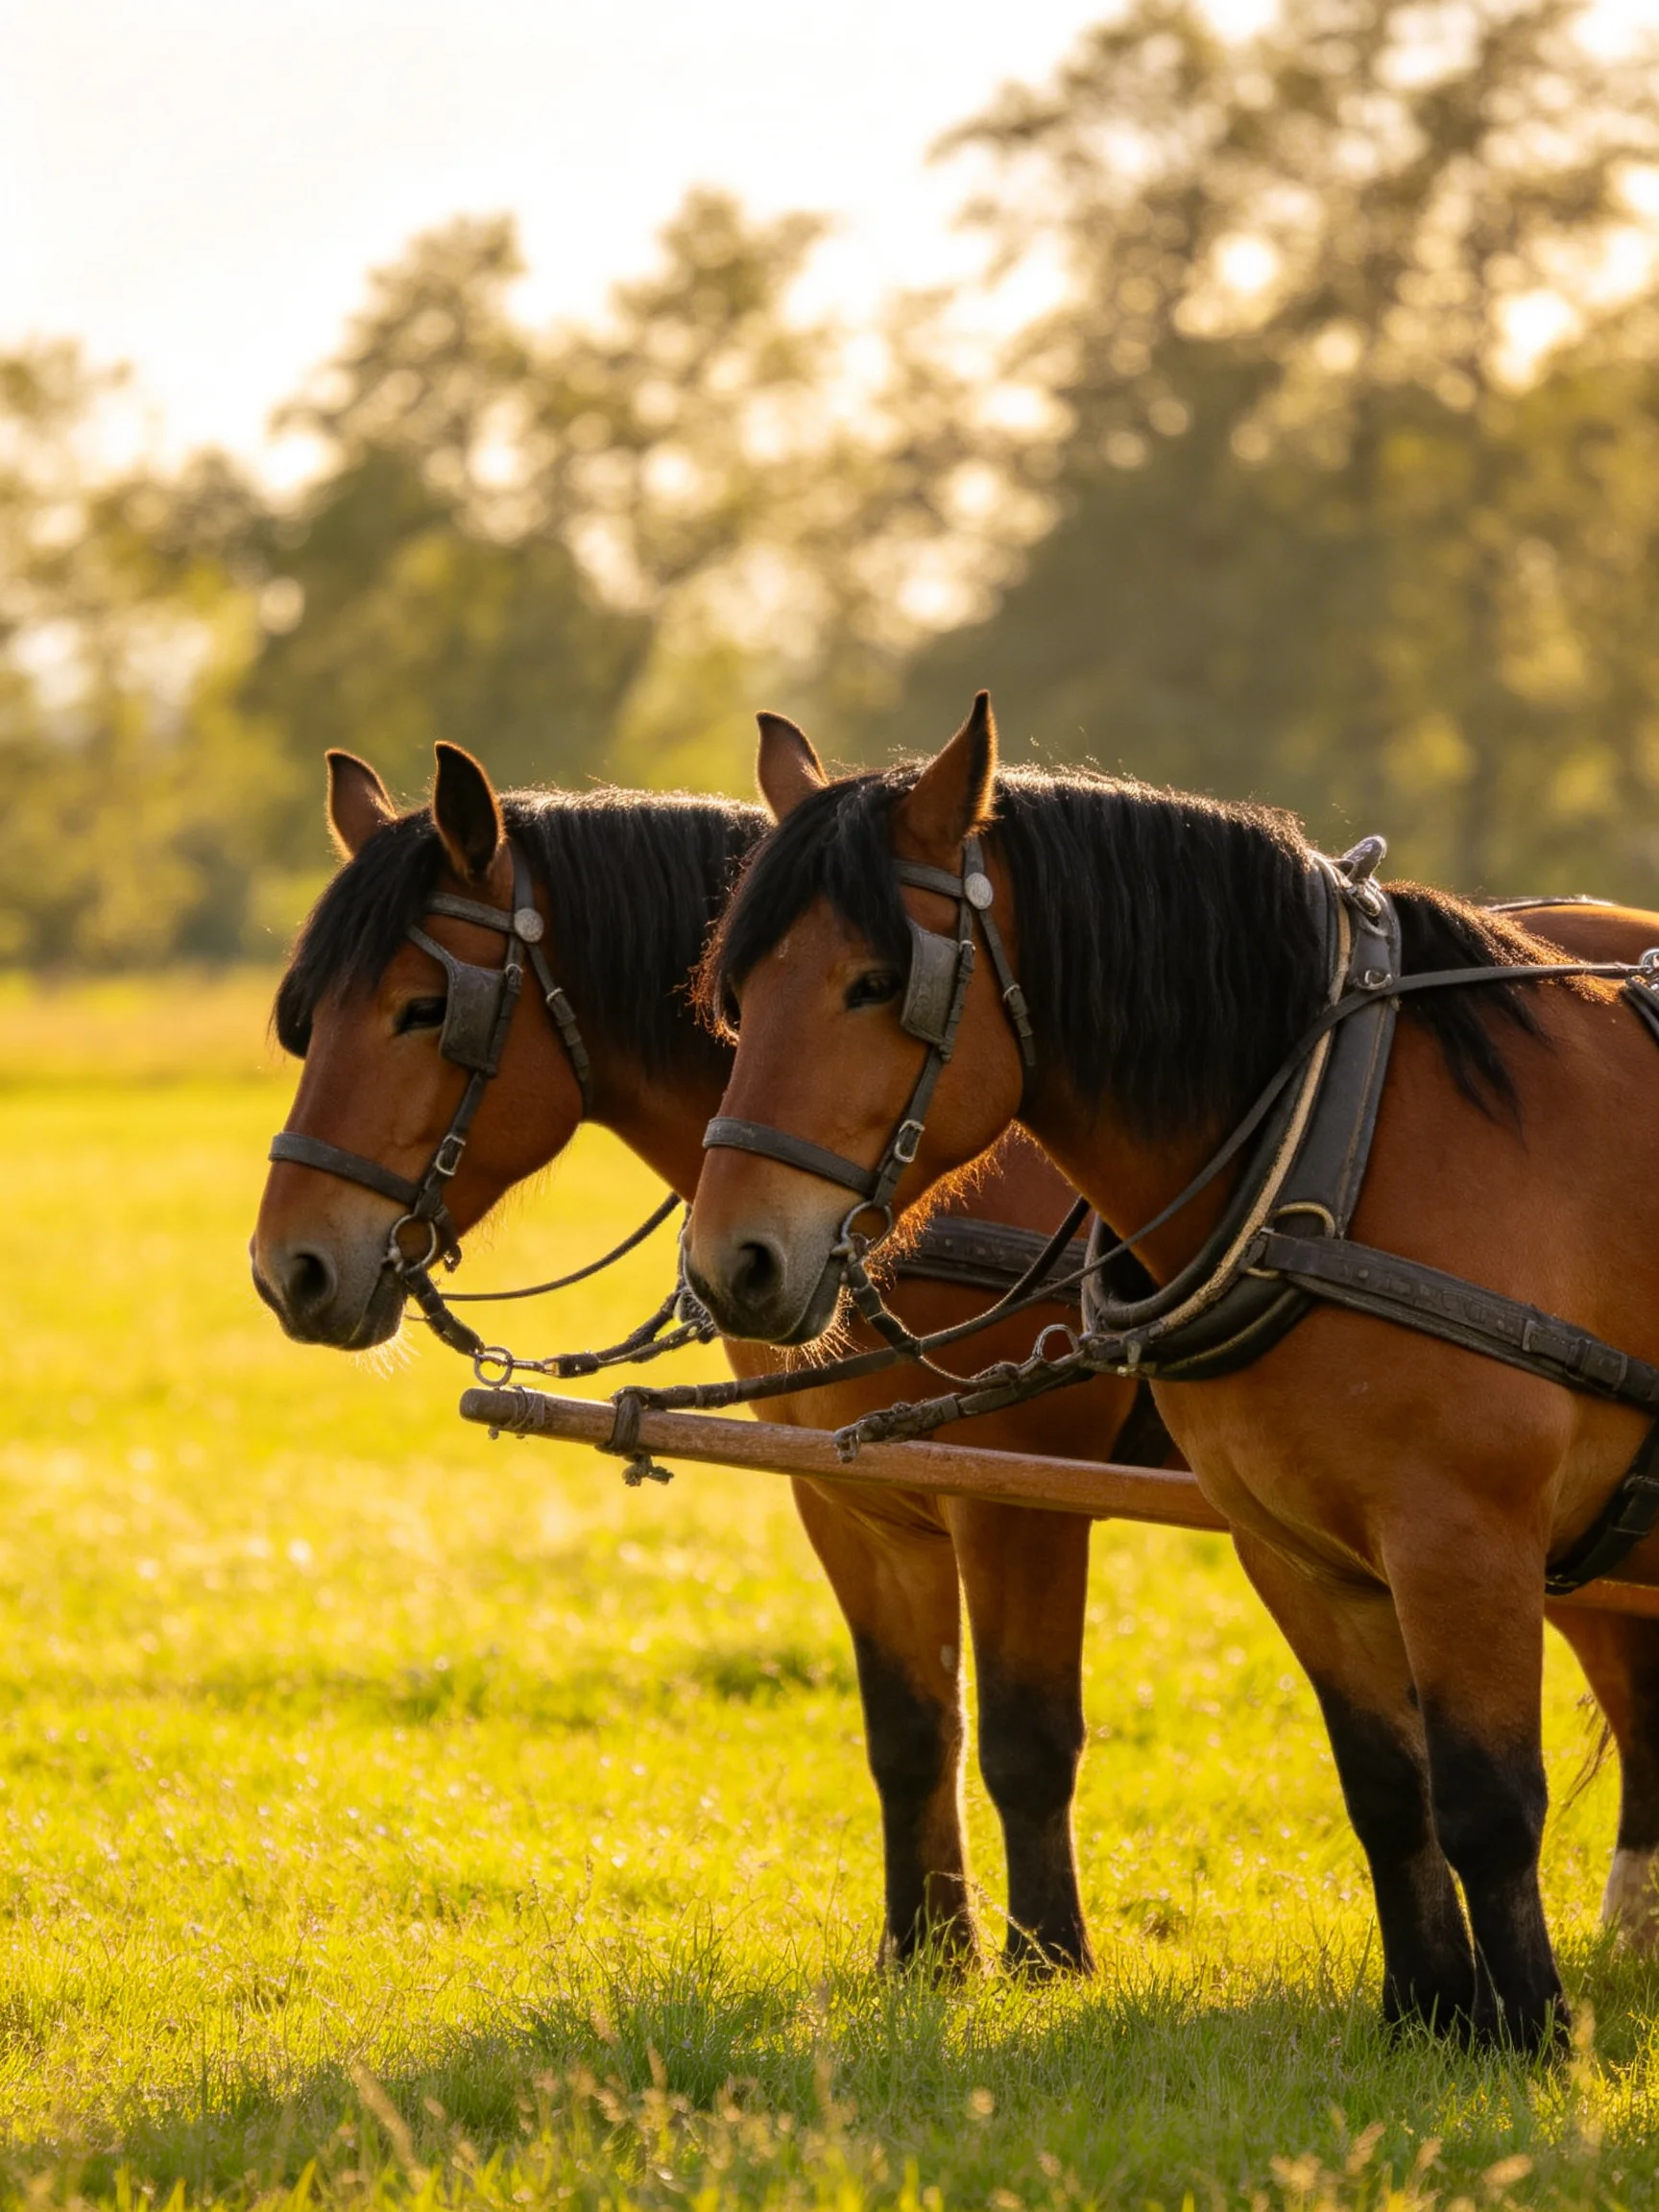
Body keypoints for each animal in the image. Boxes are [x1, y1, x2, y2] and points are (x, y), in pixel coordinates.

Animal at [685, 695, 1659, 2047]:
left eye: (875, 983)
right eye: (738, 991)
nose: (735, 1261)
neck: (1334, 1143)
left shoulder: (1464, 1541)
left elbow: (1487, 1802)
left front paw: (1529, 2039)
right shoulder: (1298, 1552)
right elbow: (1387, 1790)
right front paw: (1428, 2019)